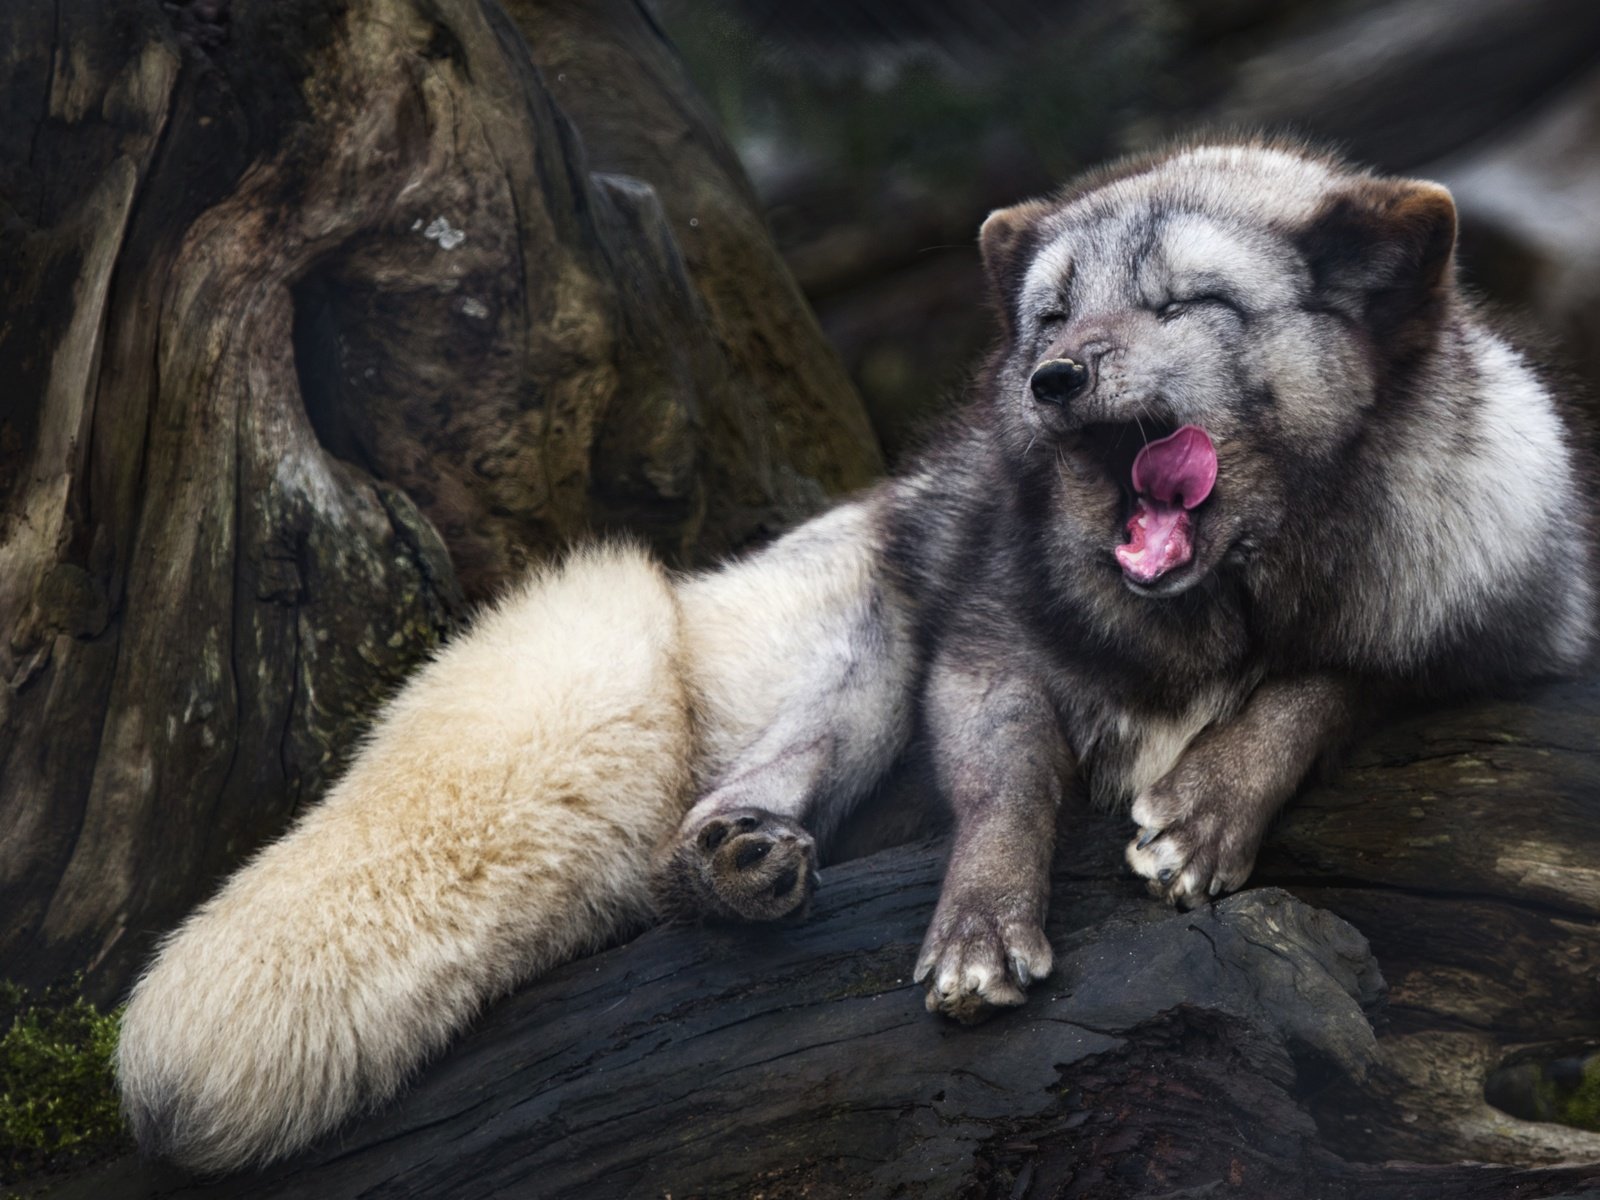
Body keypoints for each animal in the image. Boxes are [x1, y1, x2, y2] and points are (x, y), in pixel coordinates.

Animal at [118, 140, 1593, 1177]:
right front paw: (983, 929)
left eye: (1184, 302)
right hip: (869, 646)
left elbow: (1333, 680)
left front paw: (1213, 804)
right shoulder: (981, 652)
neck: (1204, 624)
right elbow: (1007, 788)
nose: (1052, 380)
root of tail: (693, 590)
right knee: (695, 835)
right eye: (1050, 315)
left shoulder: (1500, 615)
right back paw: (738, 860)